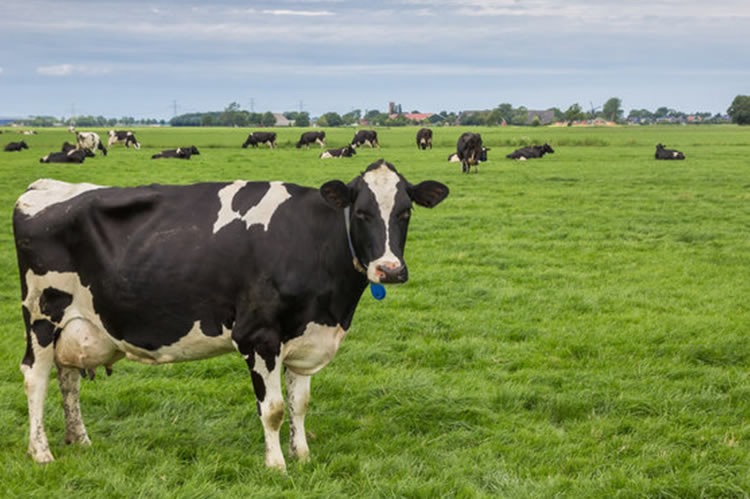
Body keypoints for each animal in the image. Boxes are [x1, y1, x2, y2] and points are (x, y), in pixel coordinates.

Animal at [11, 161, 450, 472]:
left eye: (406, 212)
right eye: (360, 213)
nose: (390, 270)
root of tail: (44, 186)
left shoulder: (306, 338)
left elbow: (300, 405)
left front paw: (303, 455)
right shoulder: (258, 336)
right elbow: (273, 409)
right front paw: (277, 466)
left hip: (75, 325)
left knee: (68, 379)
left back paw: (79, 440)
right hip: (41, 315)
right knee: (36, 377)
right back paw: (40, 452)